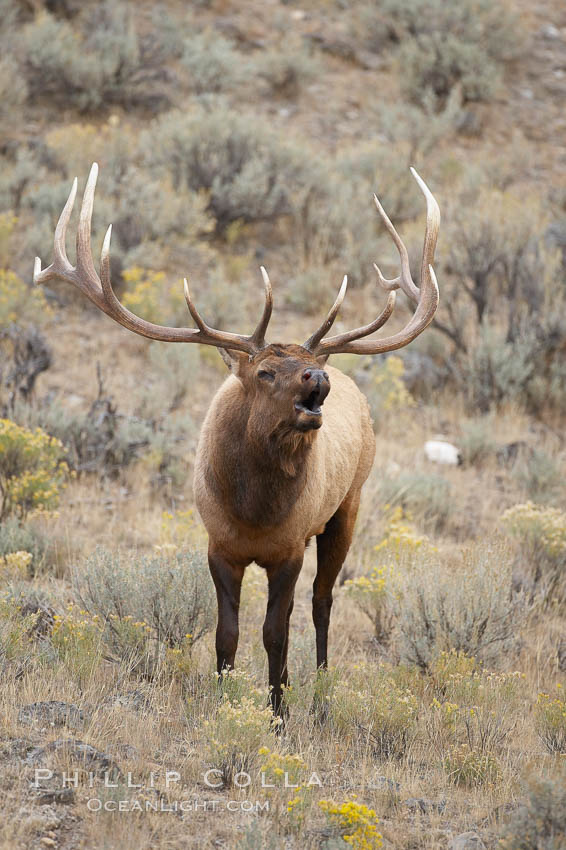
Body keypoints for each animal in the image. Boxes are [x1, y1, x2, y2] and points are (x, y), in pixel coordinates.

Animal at [34, 163, 439, 716]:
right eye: (265, 372)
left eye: (305, 367)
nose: (318, 377)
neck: (253, 511)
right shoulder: (219, 545)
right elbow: (226, 633)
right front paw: (222, 699)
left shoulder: (288, 548)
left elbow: (275, 633)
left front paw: (279, 711)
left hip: (348, 505)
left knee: (323, 600)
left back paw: (321, 687)